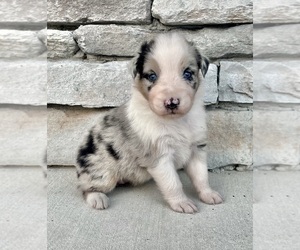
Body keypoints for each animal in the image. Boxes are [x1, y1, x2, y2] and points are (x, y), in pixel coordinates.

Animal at [76, 32, 224, 214]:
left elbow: (202, 176)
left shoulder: (197, 149)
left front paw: (208, 194)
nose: (172, 102)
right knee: (85, 187)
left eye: (188, 73)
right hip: (102, 172)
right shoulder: (159, 156)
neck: (176, 122)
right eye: (152, 76)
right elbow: (173, 183)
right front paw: (181, 203)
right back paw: (97, 198)